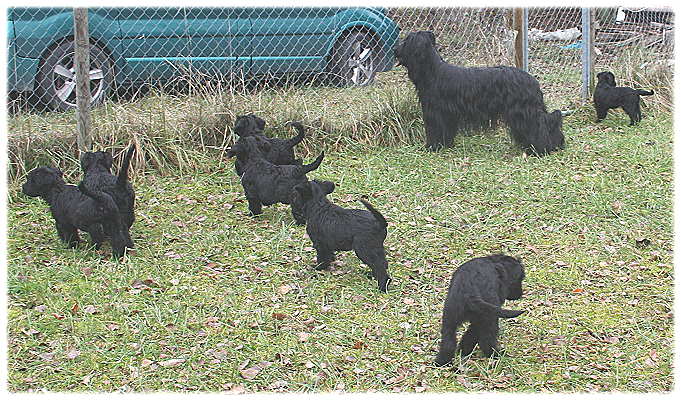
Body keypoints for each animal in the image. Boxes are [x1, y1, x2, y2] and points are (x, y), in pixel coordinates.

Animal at [394, 30, 564, 156]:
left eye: (407, 42)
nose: (395, 49)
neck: (433, 72)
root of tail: (533, 81)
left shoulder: (436, 112)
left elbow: (436, 129)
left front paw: (433, 146)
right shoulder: (447, 114)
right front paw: (445, 145)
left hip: (523, 111)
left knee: (539, 125)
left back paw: (540, 149)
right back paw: (553, 144)